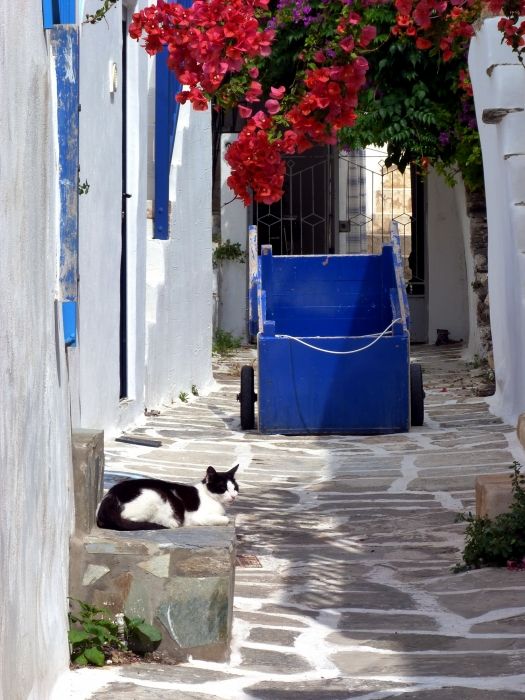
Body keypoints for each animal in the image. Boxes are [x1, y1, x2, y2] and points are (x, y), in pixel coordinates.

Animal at [95, 464, 238, 532]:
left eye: (235, 488)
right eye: (223, 488)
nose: (233, 496)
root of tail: (110, 496)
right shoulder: (197, 517)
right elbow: (225, 519)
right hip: (154, 495)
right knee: (129, 521)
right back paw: (168, 522)